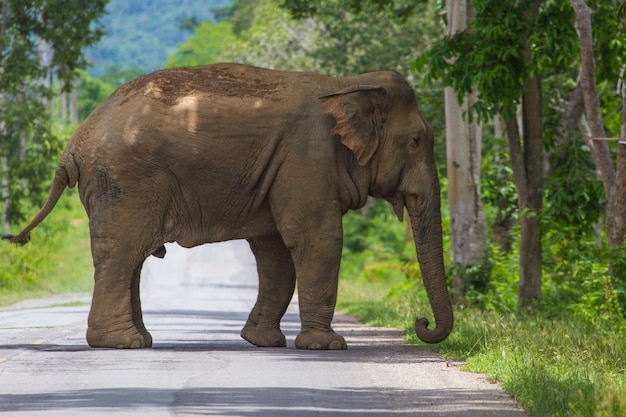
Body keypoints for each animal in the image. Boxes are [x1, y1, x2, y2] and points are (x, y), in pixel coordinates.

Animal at [4, 61, 454, 348]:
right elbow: (316, 239)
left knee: (129, 258)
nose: (421, 324)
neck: (348, 84)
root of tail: (75, 142)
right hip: (125, 182)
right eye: (416, 141)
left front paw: (262, 342)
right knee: (122, 253)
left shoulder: (287, 167)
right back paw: (121, 343)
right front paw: (327, 347)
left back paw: (141, 341)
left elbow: (276, 250)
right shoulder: (308, 158)